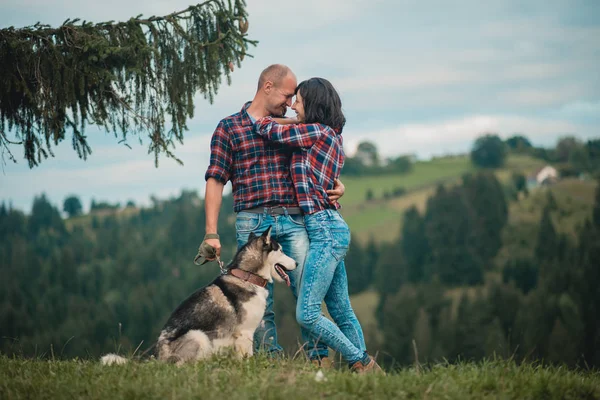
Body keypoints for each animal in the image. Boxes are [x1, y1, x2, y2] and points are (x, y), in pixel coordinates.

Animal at [155, 227, 296, 364]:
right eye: (281, 250)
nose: (297, 263)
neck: (247, 277)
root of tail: (159, 358)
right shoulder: (245, 333)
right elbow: (247, 359)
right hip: (198, 336)